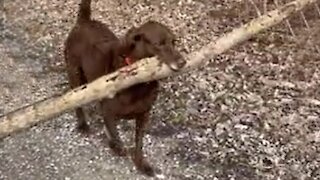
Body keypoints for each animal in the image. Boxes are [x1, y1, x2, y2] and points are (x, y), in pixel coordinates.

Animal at [63, 0, 186, 176]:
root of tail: (84, 21)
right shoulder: (108, 110)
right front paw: (117, 146)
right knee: (76, 101)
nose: (183, 62)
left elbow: (138, 143)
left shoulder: (144, 115)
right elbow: (114, 131)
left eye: (174, 42)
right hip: (75, 74)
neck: (139, 81)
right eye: (158, 44)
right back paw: (83, 125)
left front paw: (142, 164)